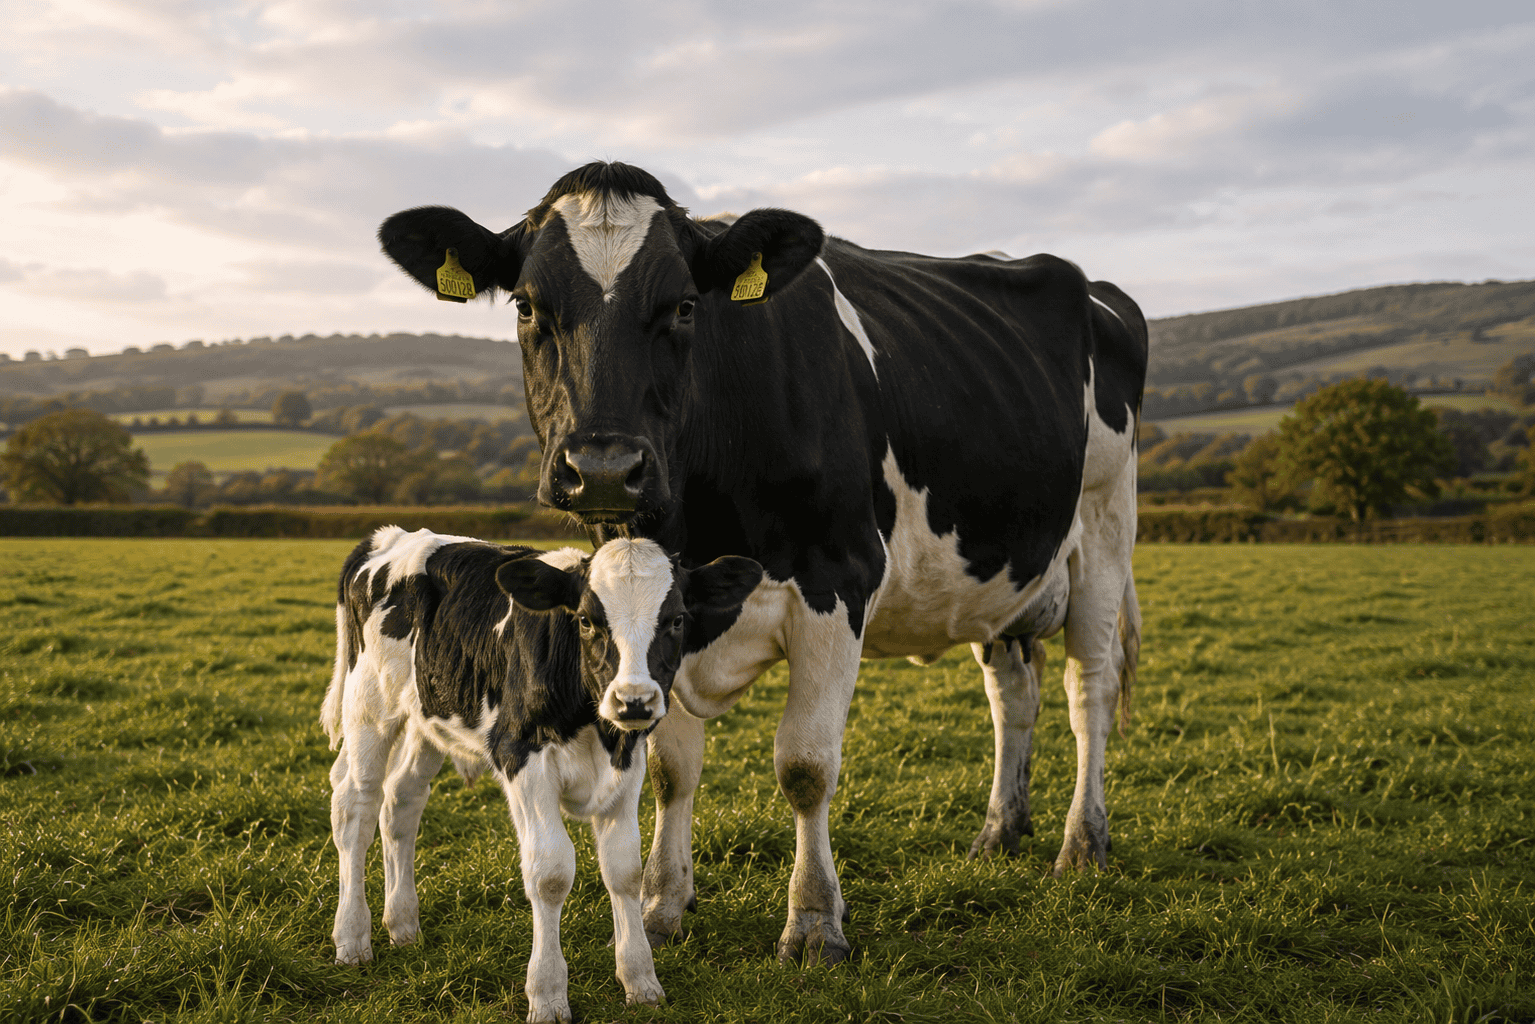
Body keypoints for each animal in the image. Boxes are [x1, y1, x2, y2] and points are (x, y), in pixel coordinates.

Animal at [322, 526, 761, 1022]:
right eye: (587, 620)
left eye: (677, 620)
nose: (634, 701)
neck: (593, 725)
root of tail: (386, 538)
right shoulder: (521, 758)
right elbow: (550, 873)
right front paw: (548, 994)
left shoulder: (628, 763)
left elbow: (624, 870)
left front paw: (640, 979)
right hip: (369, 708)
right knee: (355, 807)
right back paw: (352, 938)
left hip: (427, 716)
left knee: (401, 802)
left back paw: (403, 925)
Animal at [378, 161, 1148, 966]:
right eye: (528, 306)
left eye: (686, 306)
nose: (603, 469)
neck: (698, 516)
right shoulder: (650, 610)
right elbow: (672, 768)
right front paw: (662, 903)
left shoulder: (837, 582)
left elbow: (805, 766)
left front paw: (812, 922)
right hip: (1002, 582)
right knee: (1013, 697)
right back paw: (1000, 830)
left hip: (1104, 530)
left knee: (1088, 690)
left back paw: (1082, 841)